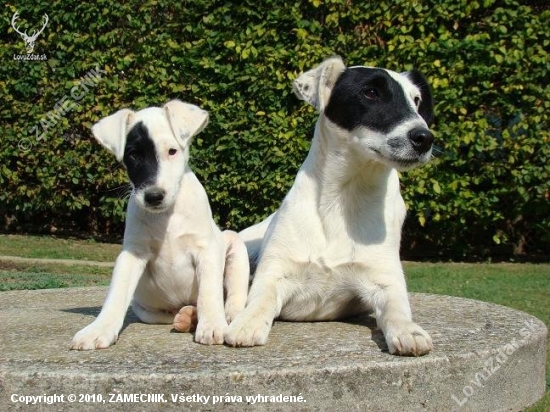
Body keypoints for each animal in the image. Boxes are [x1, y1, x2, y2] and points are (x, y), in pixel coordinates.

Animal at [71, 99, 250, 348]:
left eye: (172, 151)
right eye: (133, 154)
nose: (153, 196)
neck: (167, 216)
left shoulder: (206, 249)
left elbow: (209, 293)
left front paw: (213, 325)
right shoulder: (132, 255)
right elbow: (115, 295)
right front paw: (98, 330)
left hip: (234, 246)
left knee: (232, 295)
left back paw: (229, 315)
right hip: (148, 311)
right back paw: (188, 317)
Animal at [226, 56, 438, 356]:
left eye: (416, 100)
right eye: (370, 93)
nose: (424, 138)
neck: (342, 200)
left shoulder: (386, 280)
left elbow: (397, 308)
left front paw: (408, 329)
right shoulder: (273, 273)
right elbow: (261, 298)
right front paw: (248, 321)